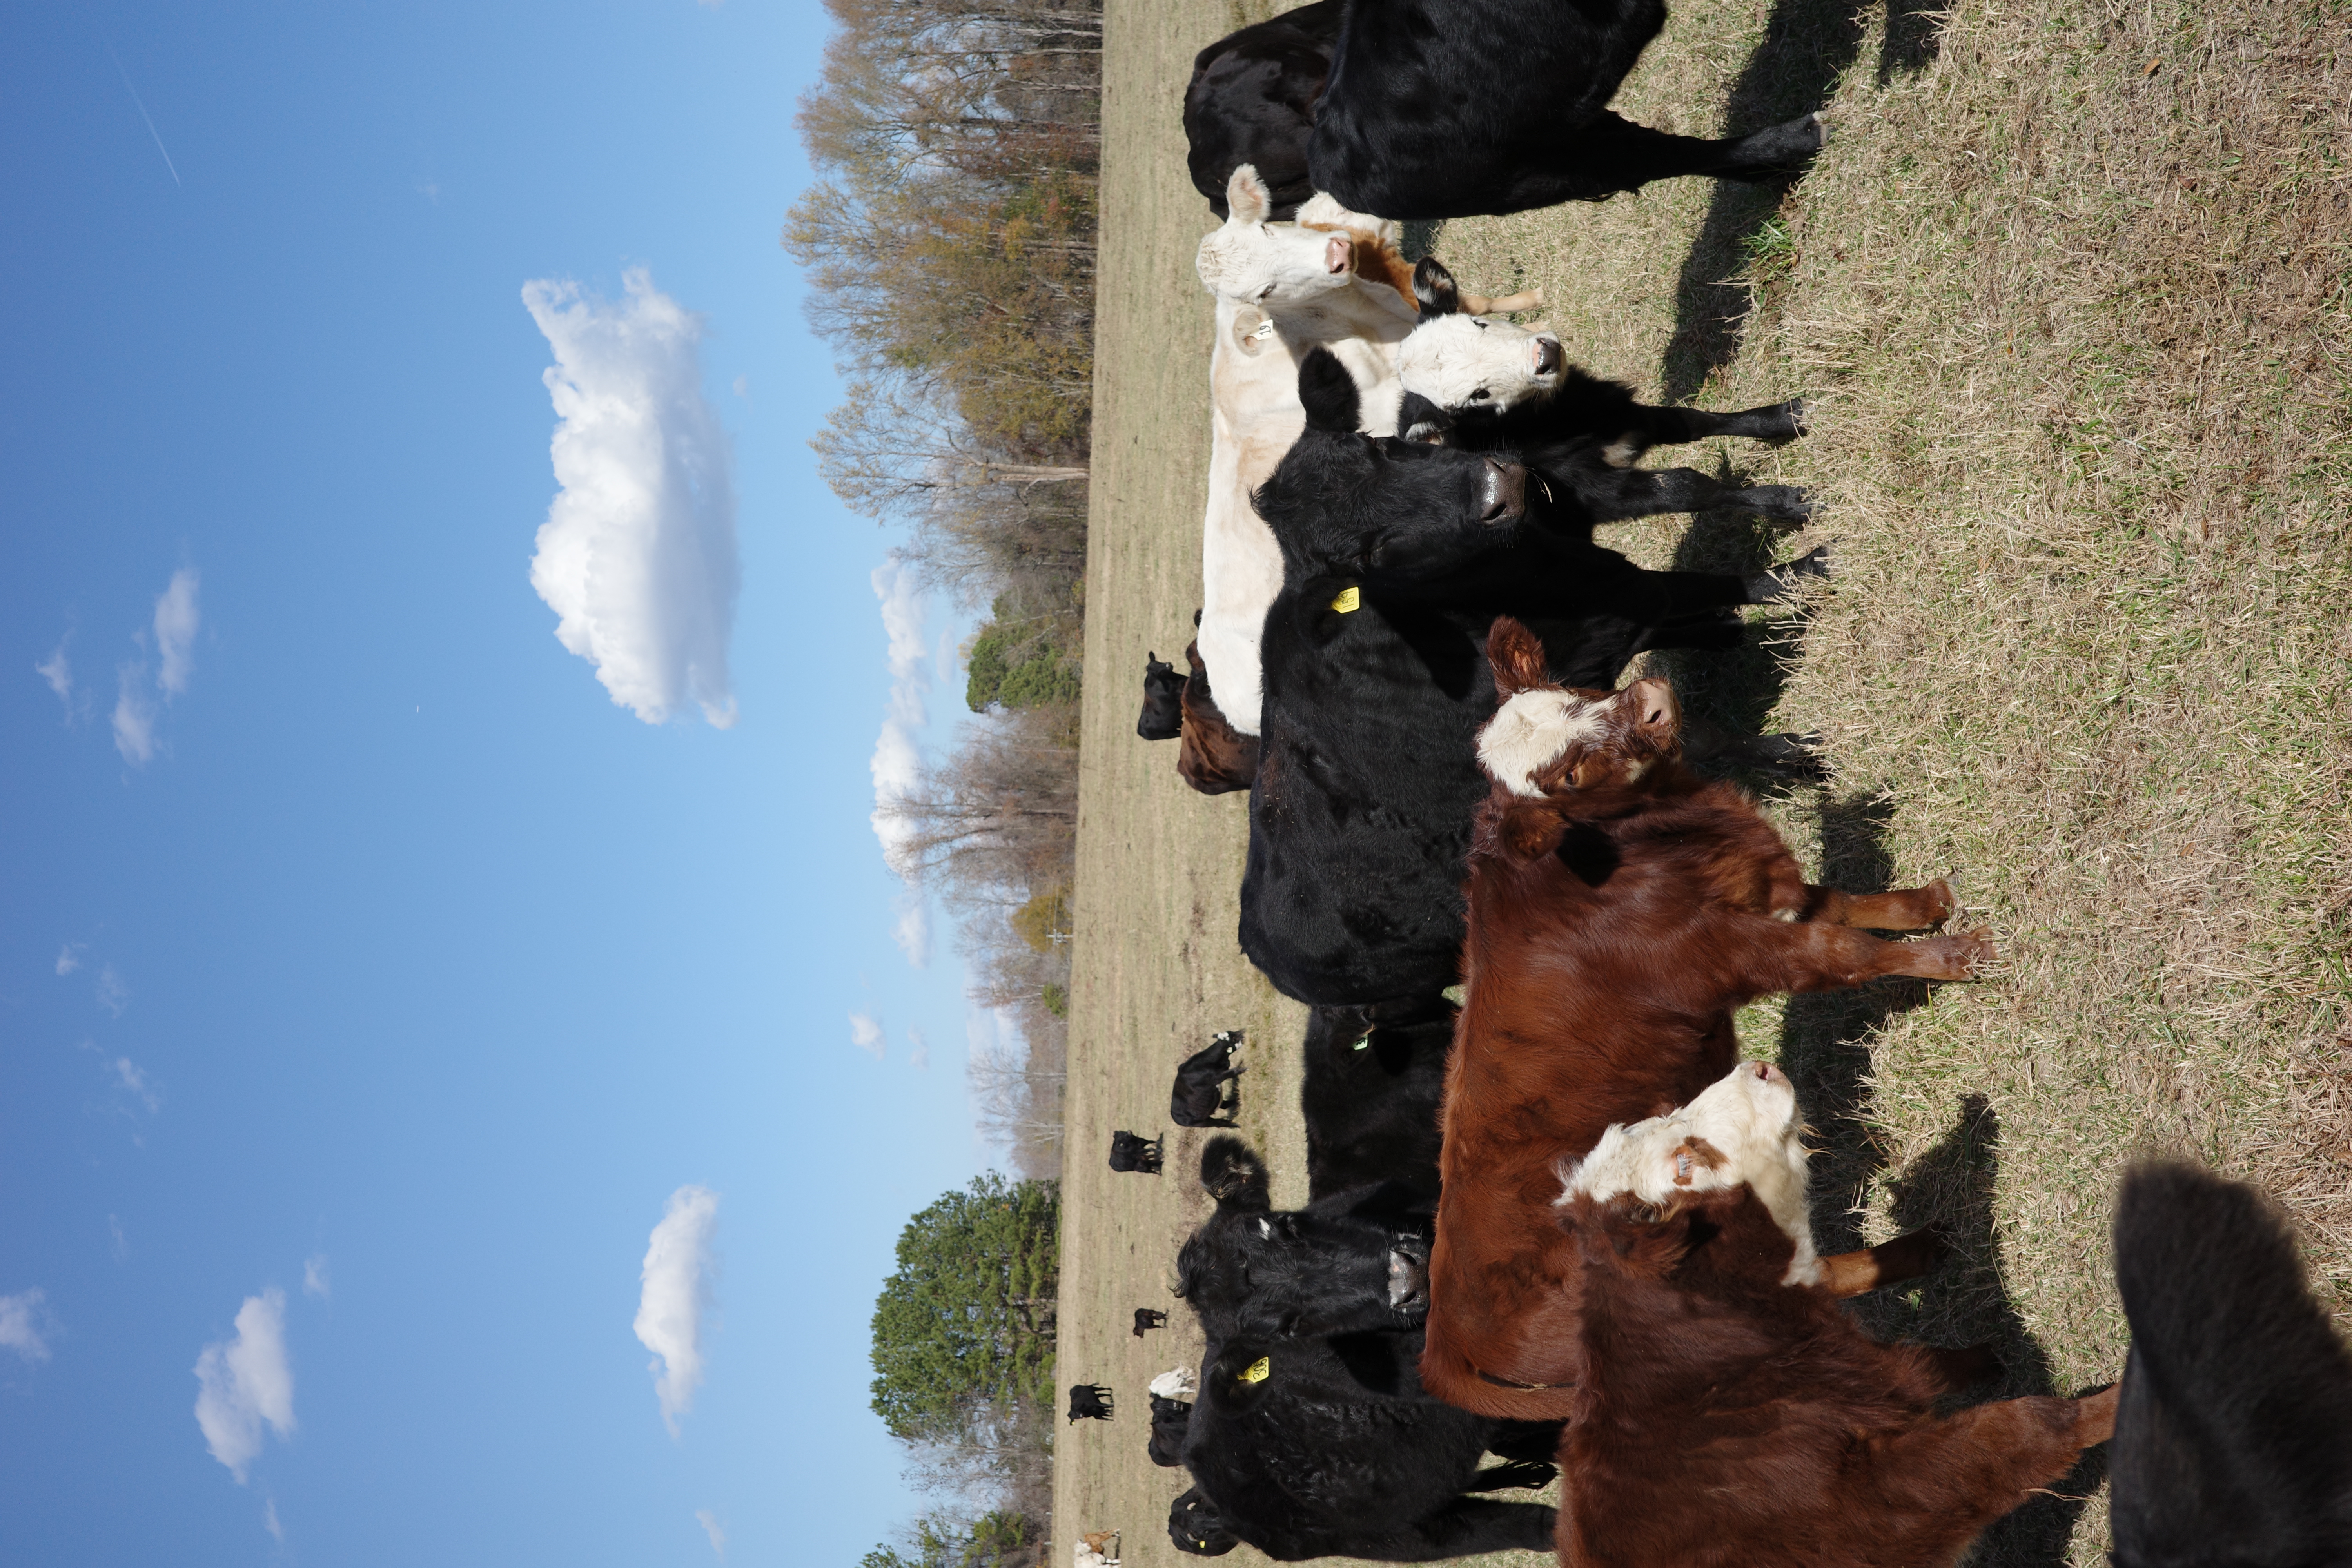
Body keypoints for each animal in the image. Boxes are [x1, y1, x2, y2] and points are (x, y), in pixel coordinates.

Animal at [1108, 1131, 1164, 1175]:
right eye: (1120, 1136)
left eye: (1121, 1132)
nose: (1129, 1132)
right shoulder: (1138, 1151)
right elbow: (1151, 1149)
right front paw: (1159, 1151)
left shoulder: (1142, 1142)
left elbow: (1152, 1142)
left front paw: (1160, 1141)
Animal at [1137, 652, 1186, 741]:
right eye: (1156, 672)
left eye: (1158, 662)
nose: (1168, 665)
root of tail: (1140, 731)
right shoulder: (1179, 694)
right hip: (1168, 734)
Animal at [1171, 1031, 1246, 1128]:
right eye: (1234, 1039)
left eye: (1231, 1032)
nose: (1242, 1033)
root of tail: (1175, 1117)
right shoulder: (1217, 1078)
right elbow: (1233, 1072)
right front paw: (1242, 1069)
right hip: (1203, 1122)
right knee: (1220, 1123)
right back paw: (1236, 1125)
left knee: (1224, 1105)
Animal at [1237, 350, 1827, 1005]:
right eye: (1368, 555)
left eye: (1381, 447)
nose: (1496, 489)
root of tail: (1268, 953)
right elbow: (1705, 703)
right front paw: (1799, 746)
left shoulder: (1612, 597)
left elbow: (1702, 554)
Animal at [1420, 616, 1987, 1419]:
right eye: (1567, 779)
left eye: (1573, 691)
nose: (1651, 703)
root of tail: (1448, 1353)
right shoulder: (1737, 953)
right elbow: (1845, 950)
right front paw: (1955, 955)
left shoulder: (1760, 896)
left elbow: (1844, 905)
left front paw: (1925, 903)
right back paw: (1924, 1253)